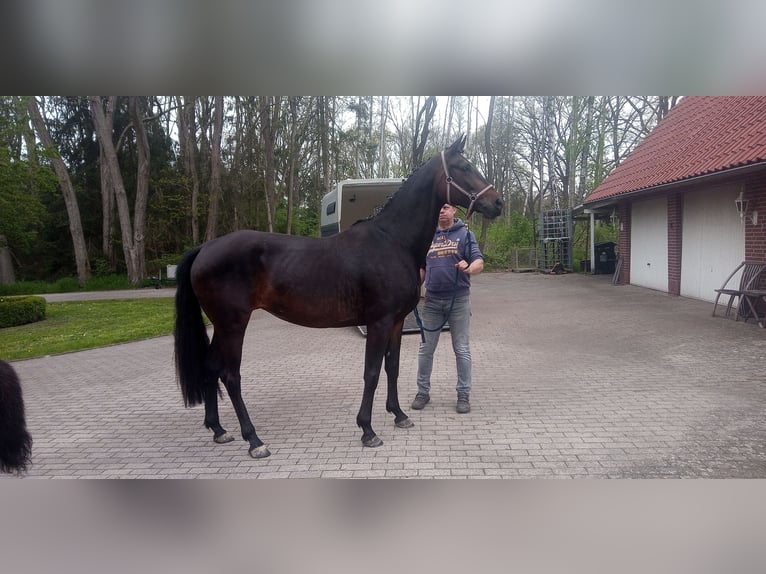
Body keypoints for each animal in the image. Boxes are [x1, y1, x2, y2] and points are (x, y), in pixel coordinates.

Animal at [177, 135, 508, 460]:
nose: (498, 202)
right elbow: (371, 372)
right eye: (464, 166)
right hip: (233, 325)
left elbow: (392, 367)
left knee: (210, 367)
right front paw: (368, 430)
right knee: (230, 375)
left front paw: (399, 415)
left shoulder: (397, 322)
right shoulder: (378, 322)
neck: (392, 241)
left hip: (222, 326)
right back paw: (254, 440)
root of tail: (205, 248)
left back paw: (219, 430)